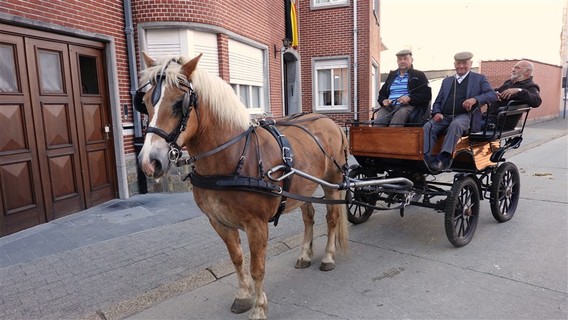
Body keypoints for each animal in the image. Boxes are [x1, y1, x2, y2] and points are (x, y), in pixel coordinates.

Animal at [138, 53, 350, 320]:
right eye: (145, 102)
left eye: (179, 103)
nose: (149, 162)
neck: (234, 157)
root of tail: (329, 120)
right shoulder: (219, 222)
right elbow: (237, 259)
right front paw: (243, 296)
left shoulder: (256, 225)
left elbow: (257, 267)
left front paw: (259, 308)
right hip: (304, 189)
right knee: (308, 218)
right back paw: (304, 254)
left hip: (332, 182)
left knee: (332, 219)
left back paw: (329, 257)